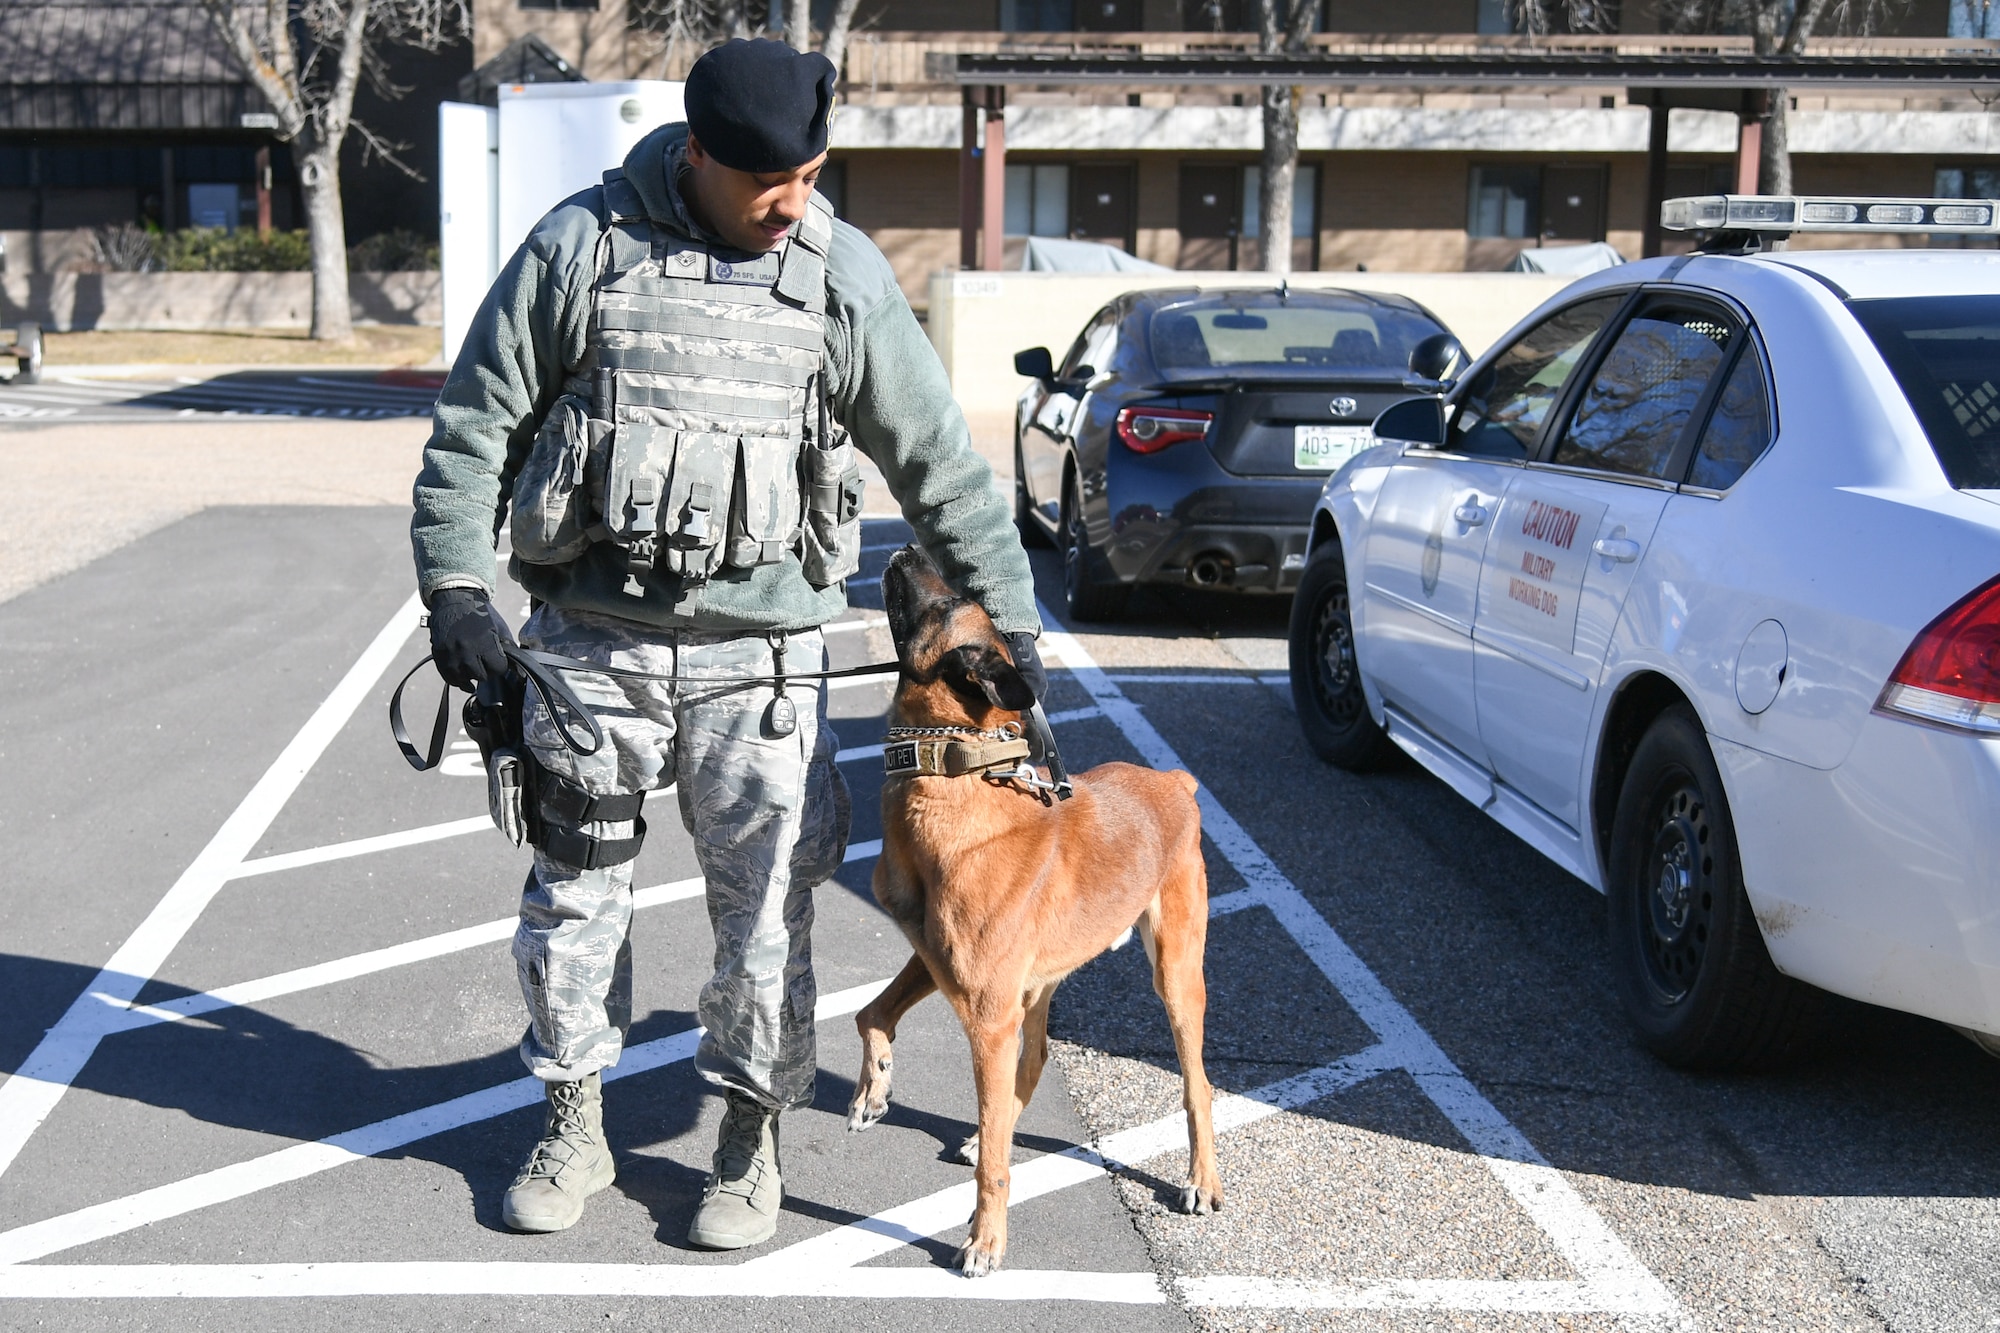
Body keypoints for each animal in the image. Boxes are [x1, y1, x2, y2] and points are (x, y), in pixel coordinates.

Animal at [844, 544, 1216, 1272]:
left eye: (945, 601)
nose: (908, 548)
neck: (951, 776)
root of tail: (1173, 781)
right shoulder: (936, 962)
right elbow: (869, 1012)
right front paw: (873, 1087)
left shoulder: (988, 1017)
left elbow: (994, 1163)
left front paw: (986, 1238)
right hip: (1037, 984)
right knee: (1036, 1056)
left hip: (1176, 976)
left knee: (1197, 1085)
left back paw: (1201, 1180)